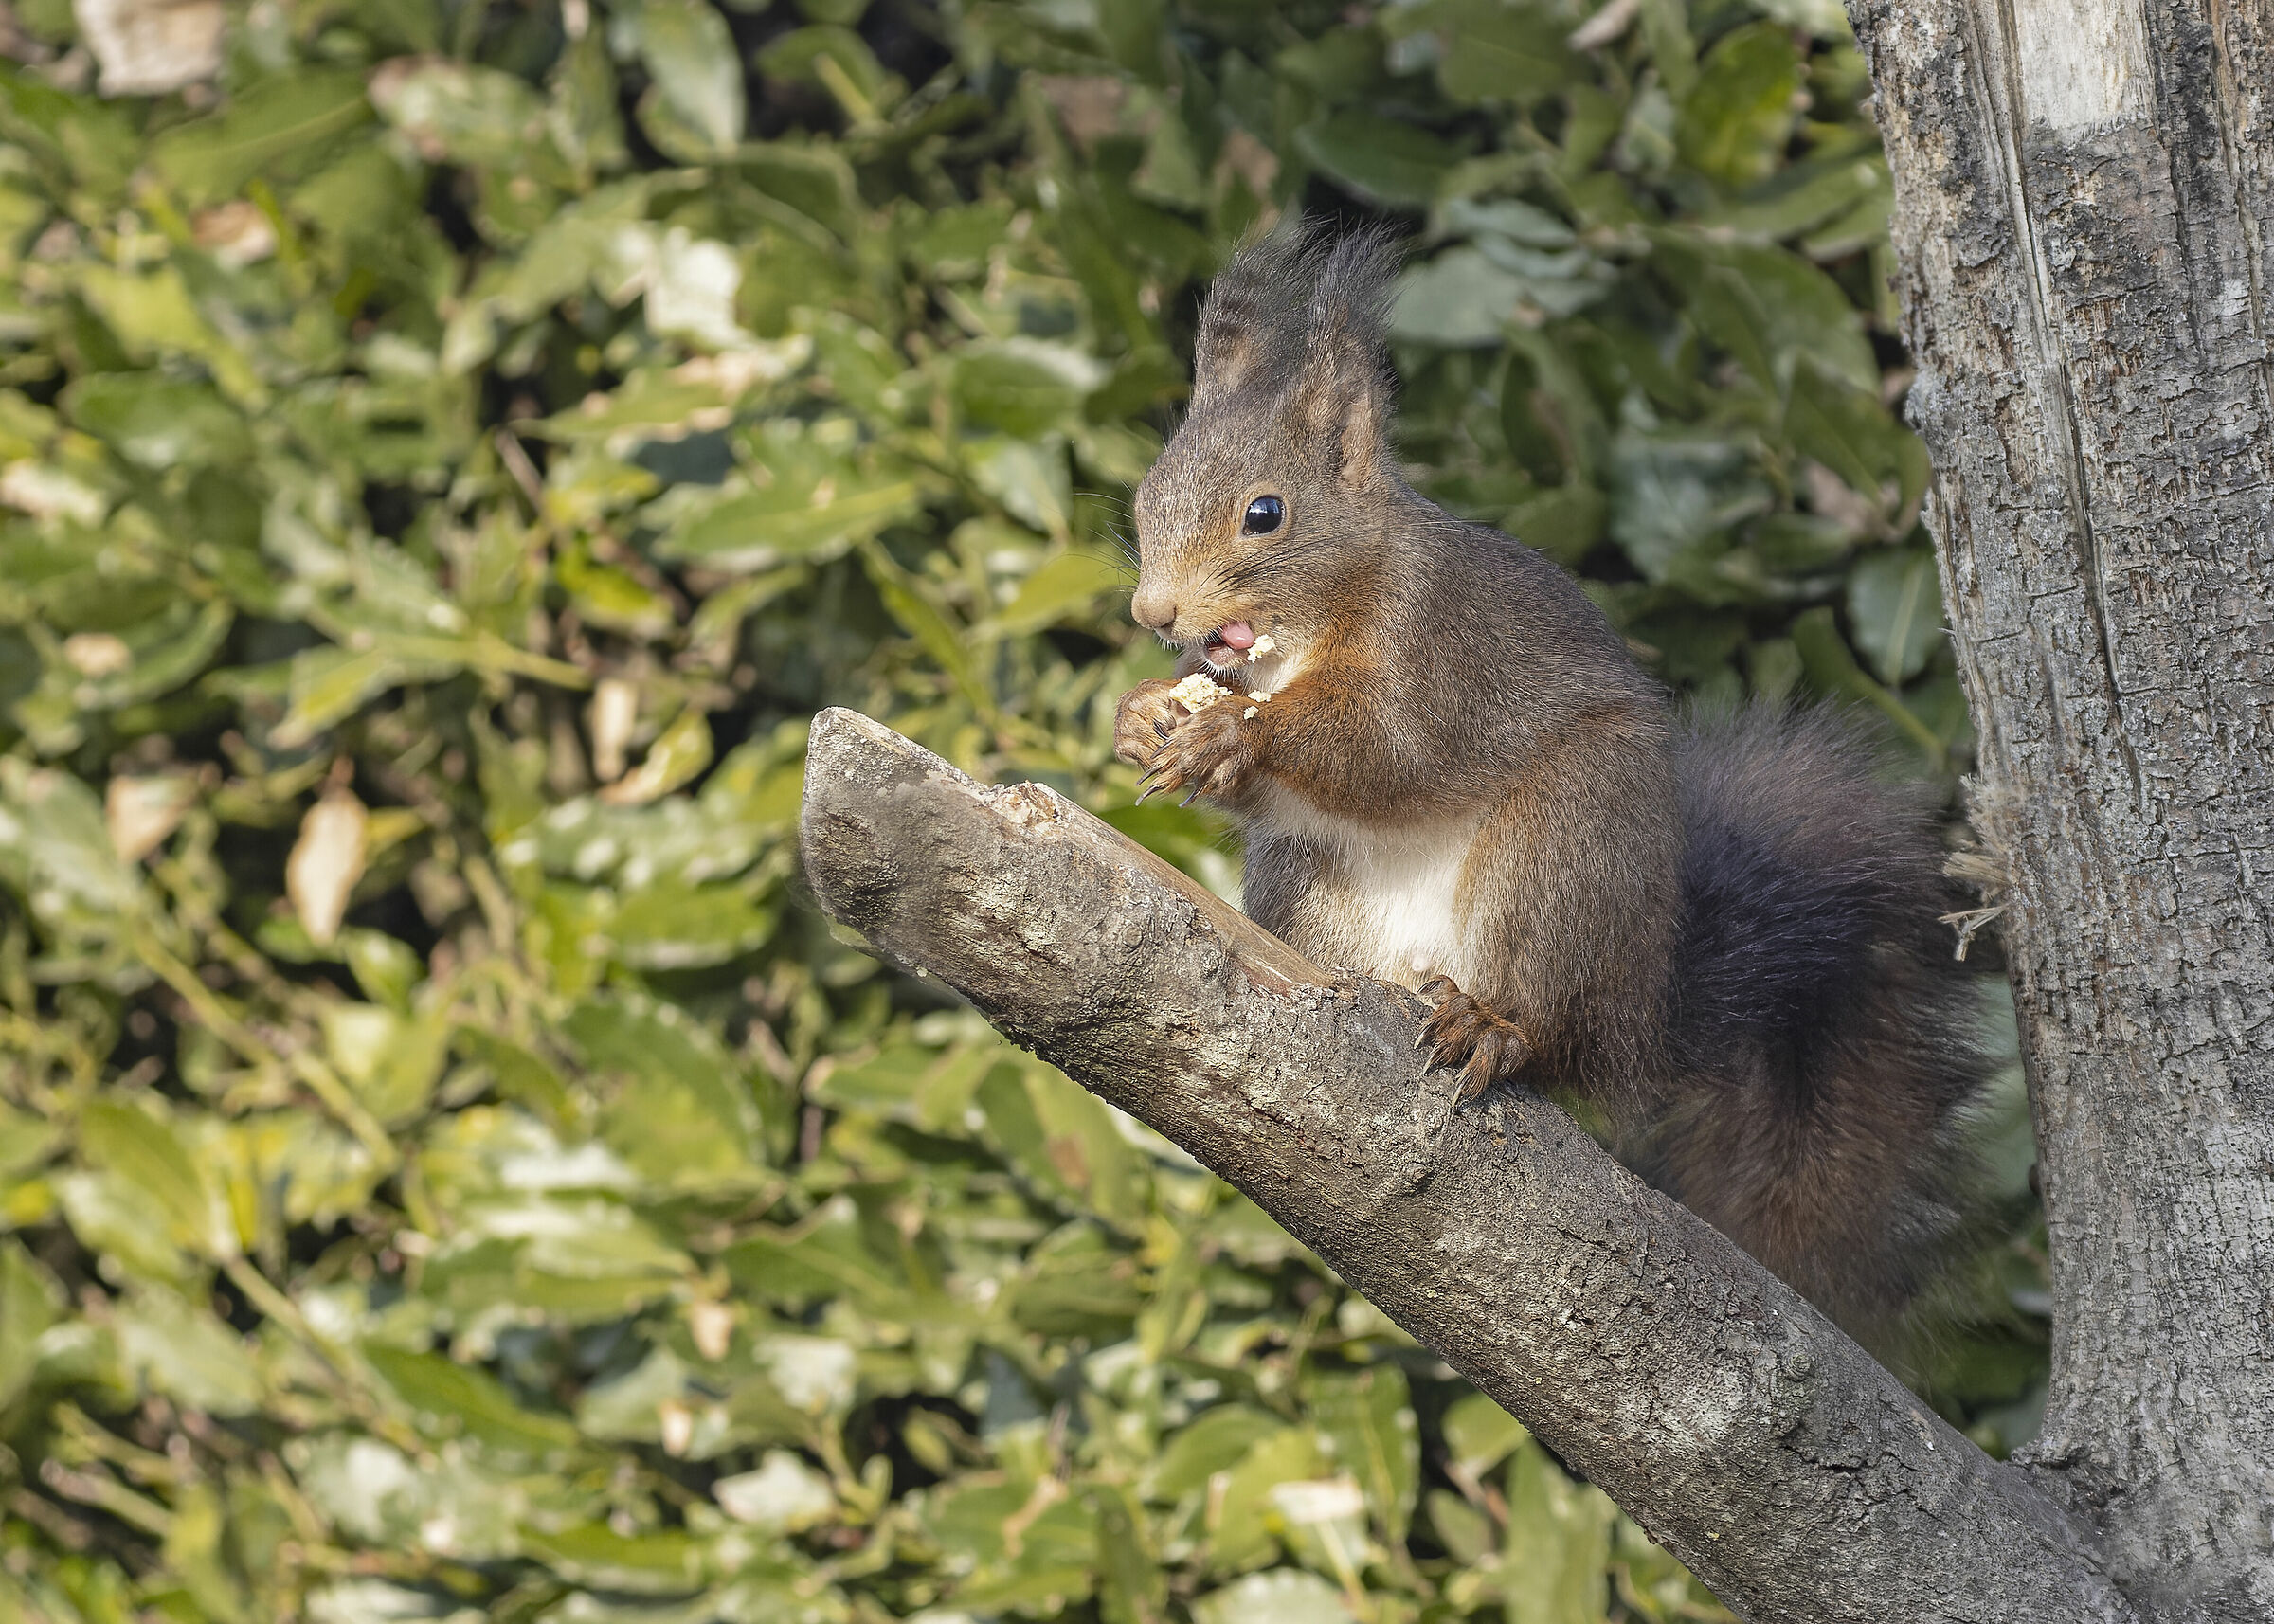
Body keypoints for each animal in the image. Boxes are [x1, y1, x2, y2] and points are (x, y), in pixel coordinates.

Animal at [1112, 225, 1990, 1341]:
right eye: (1146, 499)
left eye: (1264, 514)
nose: (1154, 613)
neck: (1316, 624)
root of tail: (1636, 1017)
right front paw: (1145, 715)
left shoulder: (1437, 658)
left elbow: (1386, 753)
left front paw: (1228, 735)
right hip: (1306, 887)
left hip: (1567, 851)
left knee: (1546, 1030)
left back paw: (1495, 1025)